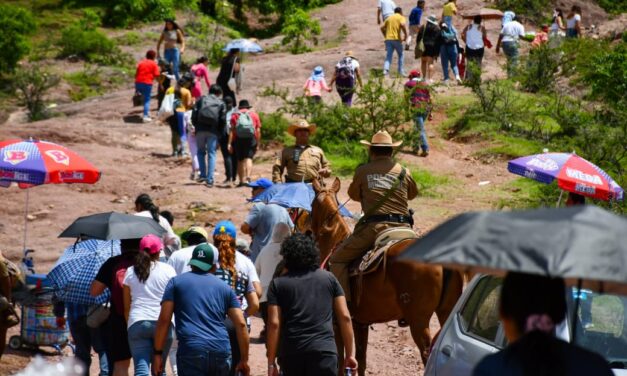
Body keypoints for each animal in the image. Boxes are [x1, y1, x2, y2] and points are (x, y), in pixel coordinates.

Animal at [310, 178, 464, 374]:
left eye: (311, 205)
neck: (334, 241)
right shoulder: (360, 323)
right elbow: (361, 360)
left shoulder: (339, 324)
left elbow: (341, 362)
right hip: (446, 311)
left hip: (419, 320)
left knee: (426, 352)